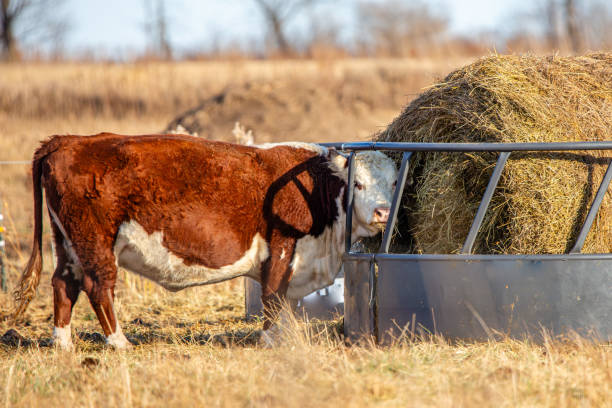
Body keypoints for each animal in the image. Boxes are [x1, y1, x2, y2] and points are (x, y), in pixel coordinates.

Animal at [14, 132, 400, 350]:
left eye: (395, 183)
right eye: (358, 184)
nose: (382, 212)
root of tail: (70, 140)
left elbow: (285, 302)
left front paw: (289, 337)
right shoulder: (282, 246)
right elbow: (273, 296)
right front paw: (271, 340)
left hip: (68, 243)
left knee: (63, 284)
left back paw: (63, 343)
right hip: (95, 242)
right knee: (98, 287)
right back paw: (119, 342)